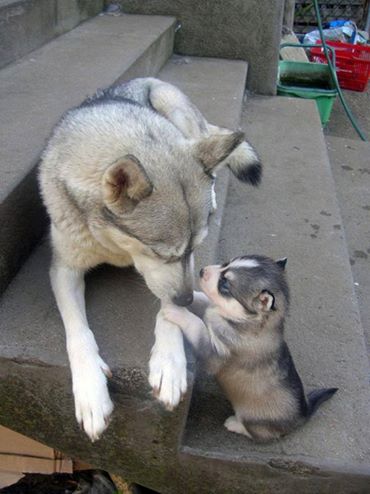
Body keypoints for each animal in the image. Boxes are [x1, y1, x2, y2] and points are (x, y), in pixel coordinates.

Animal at [39, 76, 262, 440]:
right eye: (160, 253)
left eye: (193, 248)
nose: (188, 299)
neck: (114, 246)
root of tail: (147, 78)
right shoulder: (64, 270)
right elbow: (78, 332)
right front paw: (90, 390)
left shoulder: (181, 271)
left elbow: (168, 307)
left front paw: (169, 362)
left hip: (174, 108)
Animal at [163, 256, 336, 442]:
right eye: (226, 264)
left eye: (225, 284)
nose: (202, 271)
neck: (246, 321)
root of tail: (304, 412)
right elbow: (204, 300)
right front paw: (187, 297)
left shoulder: (215, 355)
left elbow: (197, 326)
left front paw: (178, 312)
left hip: (253, 419)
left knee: (259, 434)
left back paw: (235, 424)